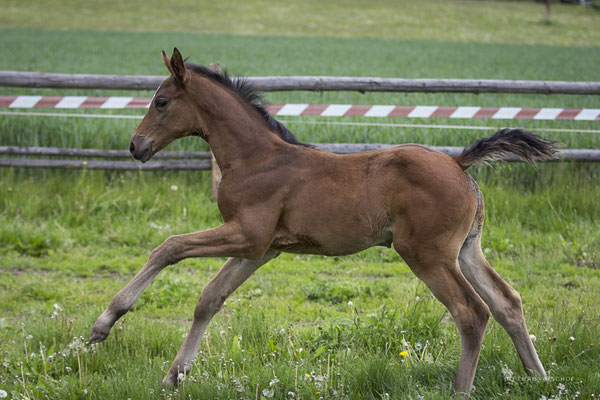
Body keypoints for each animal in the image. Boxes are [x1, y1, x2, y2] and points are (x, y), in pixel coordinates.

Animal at [89, 48, 556, 396]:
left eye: (161, 102)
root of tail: (458, 163)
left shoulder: (247, 235)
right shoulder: (262, 249)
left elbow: (169, 246)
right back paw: (540, 378)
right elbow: (210, 298)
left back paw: (462, 390)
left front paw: (104, 323)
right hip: (466, 250)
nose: (135, 145)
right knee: (507, 302)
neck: (255, 157)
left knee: (471, 312)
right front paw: (173, 375)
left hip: (426, 253)